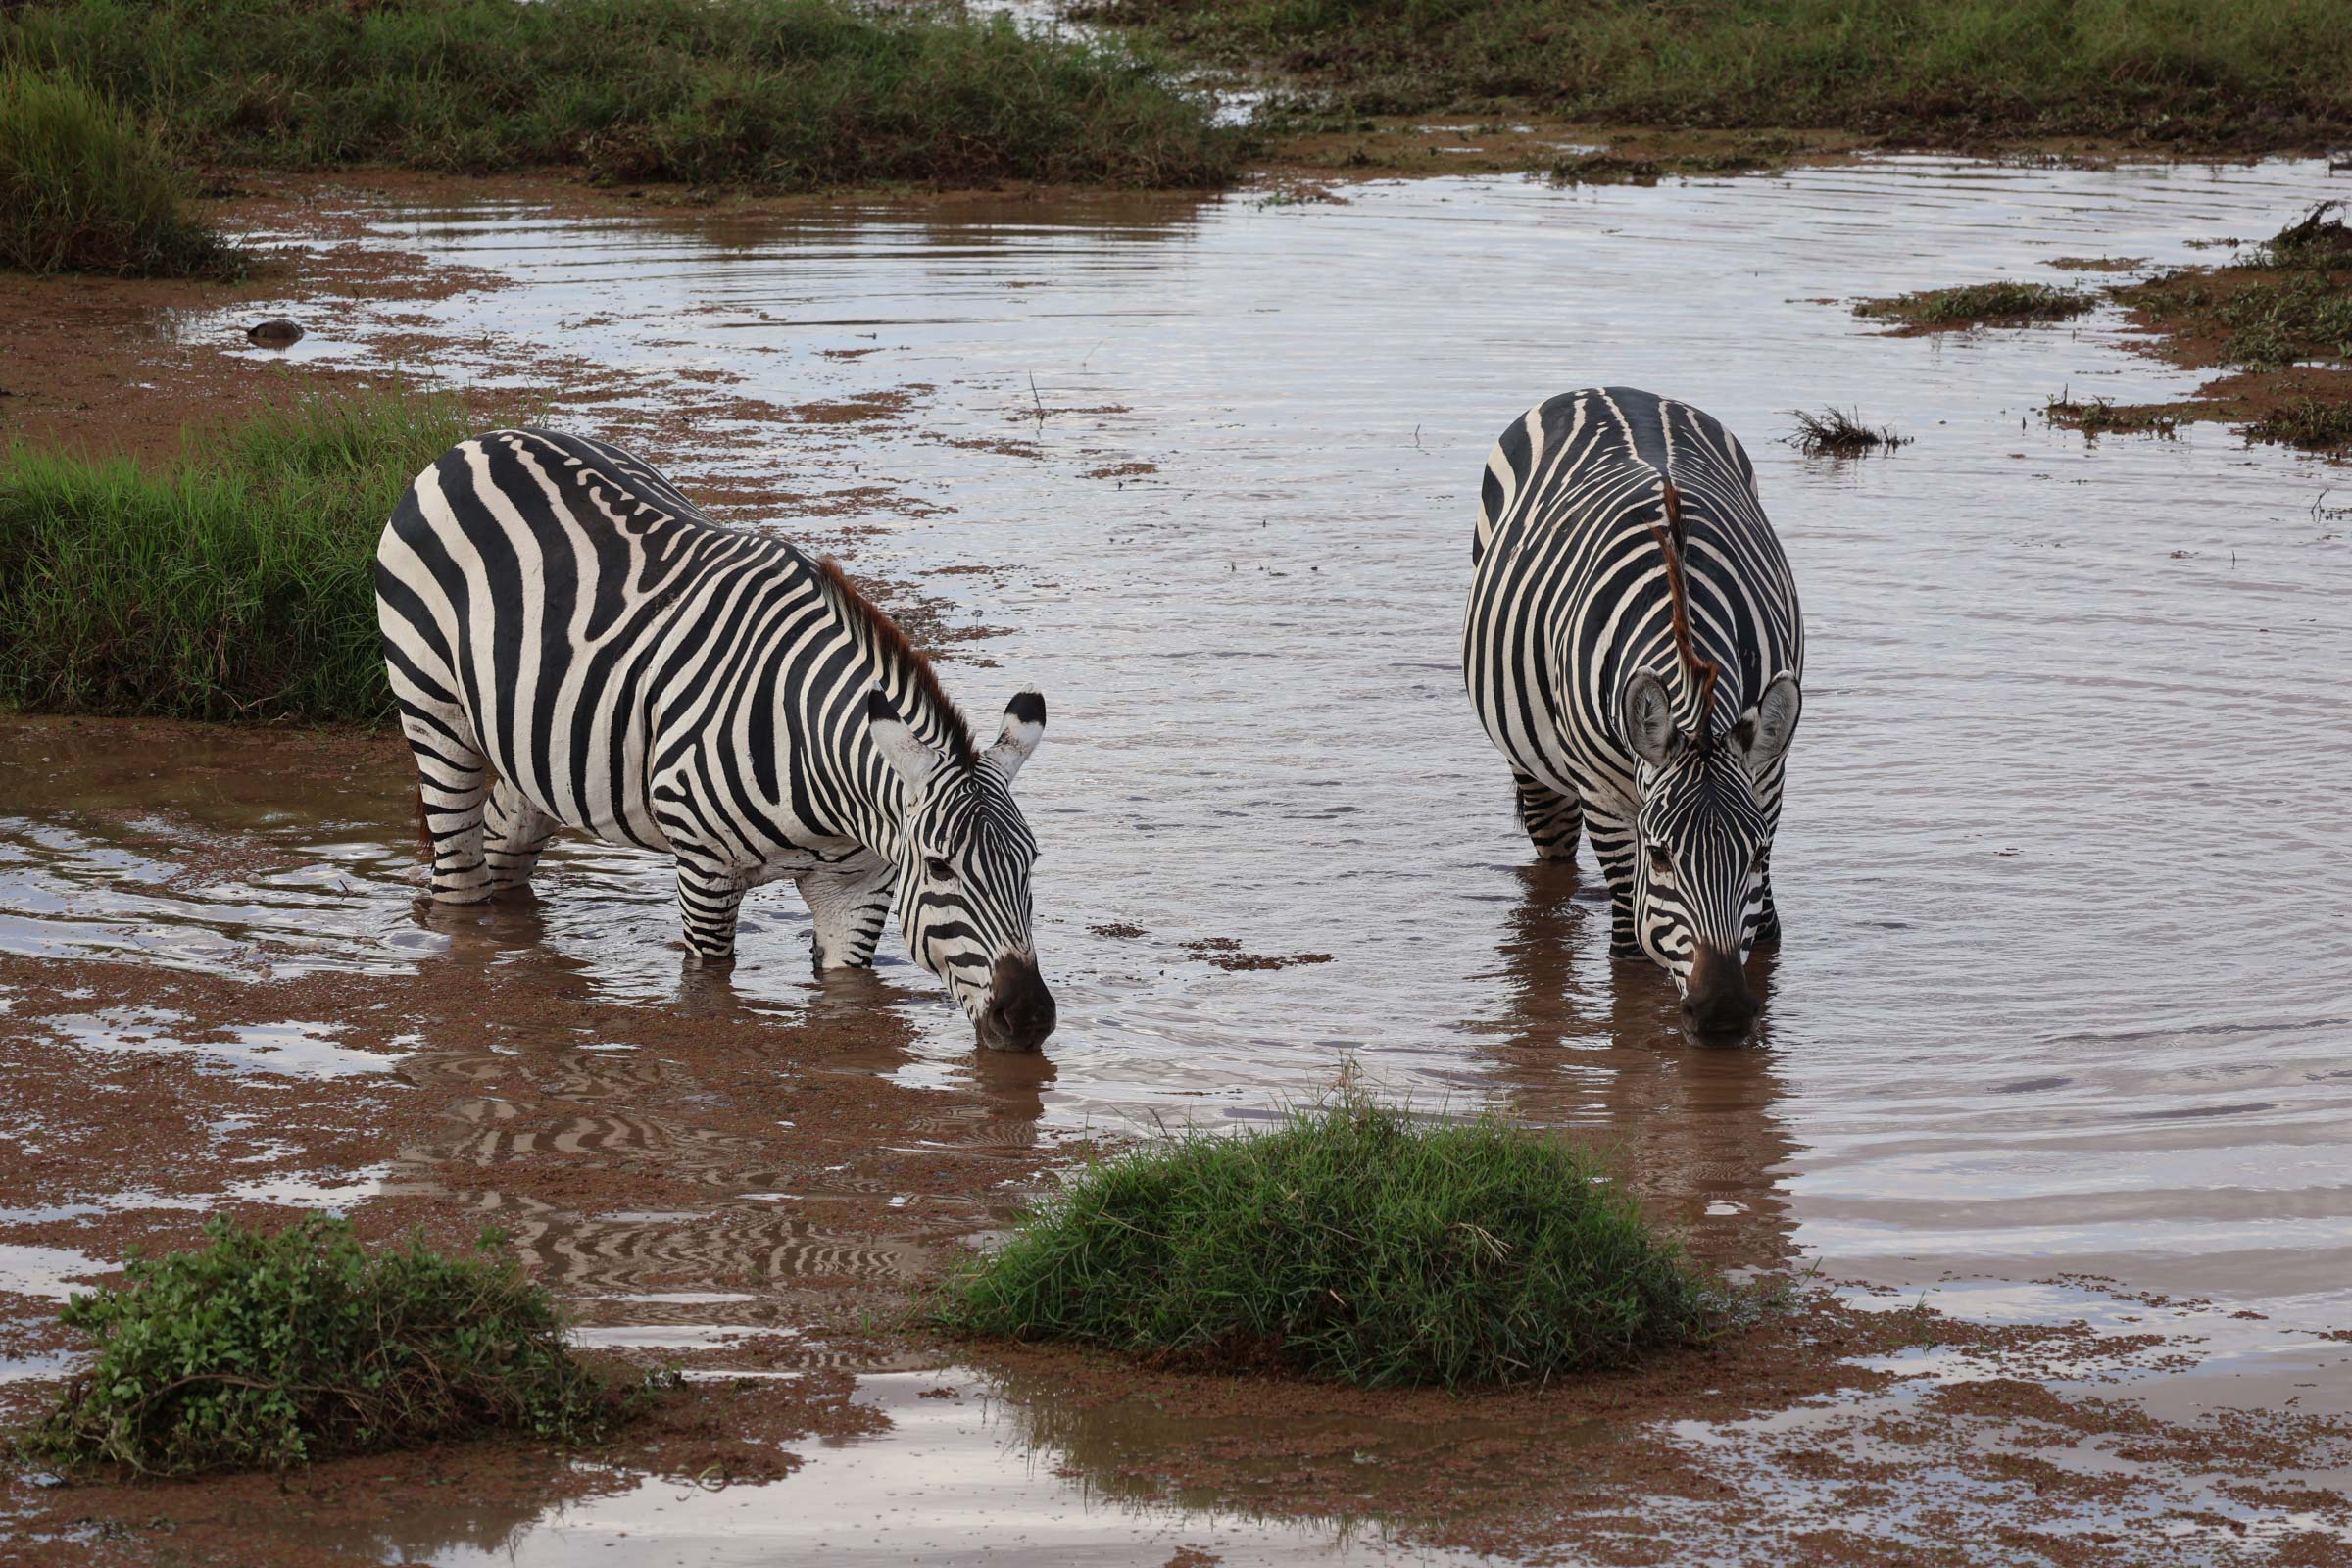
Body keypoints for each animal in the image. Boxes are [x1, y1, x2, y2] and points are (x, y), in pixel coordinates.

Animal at [374, 428, 1058, 1052]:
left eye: (1030, 863)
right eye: (941, 867)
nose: (1028, 1018)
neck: (827, 790)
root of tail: (476, 443)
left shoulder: (858, 888)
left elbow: (846, 992)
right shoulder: (704, 869)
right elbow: (709, 990)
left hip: (540, 754)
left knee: (503, 845)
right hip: (434, 711)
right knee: (459, 875)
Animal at [1462, 388, 1803, 1038]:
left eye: (1751, 854)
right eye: (1662, 854)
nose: (1722, 1014)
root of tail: (1610, 390)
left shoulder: (1768, 780)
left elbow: (1767, 931)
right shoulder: (1603, 798)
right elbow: (1629, 954)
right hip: (1536, 771)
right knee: (1553, 855)